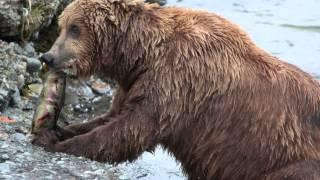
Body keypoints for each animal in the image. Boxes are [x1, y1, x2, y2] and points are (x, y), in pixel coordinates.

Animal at [31, 0, 320, 179]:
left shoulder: (177, 80)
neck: (142, 53)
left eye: (75, 28)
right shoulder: (138, 80)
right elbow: (113, 117)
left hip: (289, 160)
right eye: (61, 26)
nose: (48, 57)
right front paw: (60, 130)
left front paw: (52, 141)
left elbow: (131, 129)